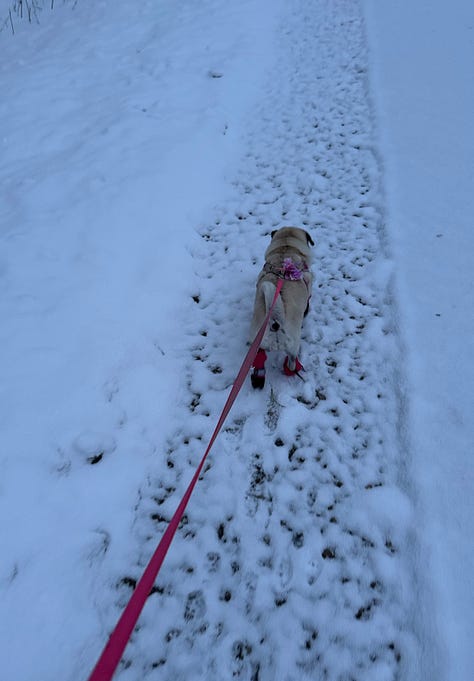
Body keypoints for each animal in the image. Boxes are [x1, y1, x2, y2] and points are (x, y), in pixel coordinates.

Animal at [248, 226, 314, 388]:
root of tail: (275, 321)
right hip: (293, 346)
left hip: (258, 342)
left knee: (259, 360)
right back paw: (293, 369)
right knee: (291, 361)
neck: (286, 248)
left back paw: (258, 377)